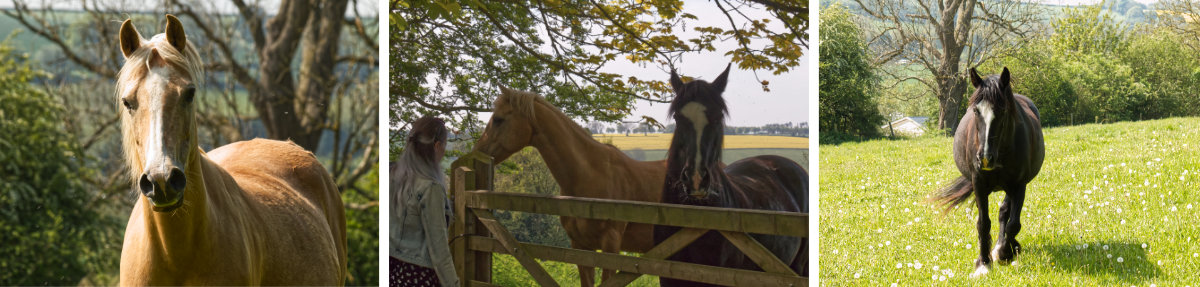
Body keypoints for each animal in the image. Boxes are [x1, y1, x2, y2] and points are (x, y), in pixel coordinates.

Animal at [926, 67, 1041, 278]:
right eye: (975, 110)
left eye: (1002, 110)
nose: (985, 158)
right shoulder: (978, 184)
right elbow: (983, 223)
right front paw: (983, 263)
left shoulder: (1019, 185)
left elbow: (1013, 223)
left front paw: (1005, 253)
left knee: (1005, 213)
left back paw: (1003, 247)